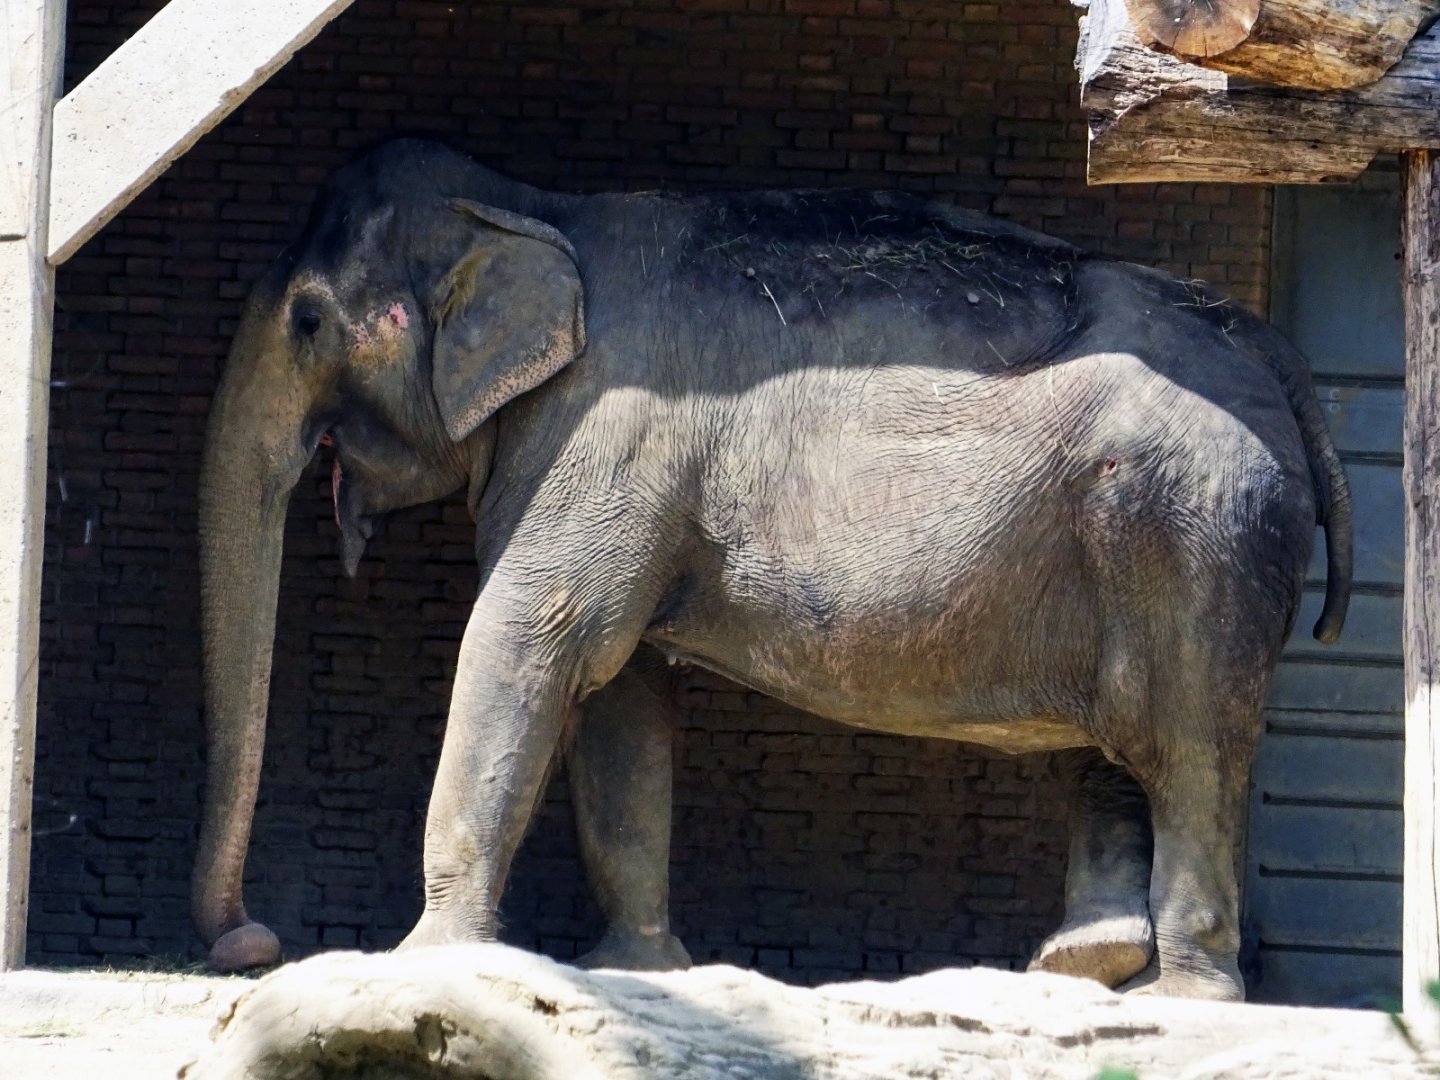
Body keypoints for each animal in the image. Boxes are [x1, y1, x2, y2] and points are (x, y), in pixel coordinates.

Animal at [192, 138, 1351, 1001]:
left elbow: (530, 640)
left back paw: (1180, 996)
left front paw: (424, 961)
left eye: (307, 320)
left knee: (1191, 744)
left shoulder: (604, 436)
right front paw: (639, 970)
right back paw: (1087, 967)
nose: (249, 943)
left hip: (1196, 530)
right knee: (1124, 741)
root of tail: (1270, 347)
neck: (531, 205)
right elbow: (623, 698)